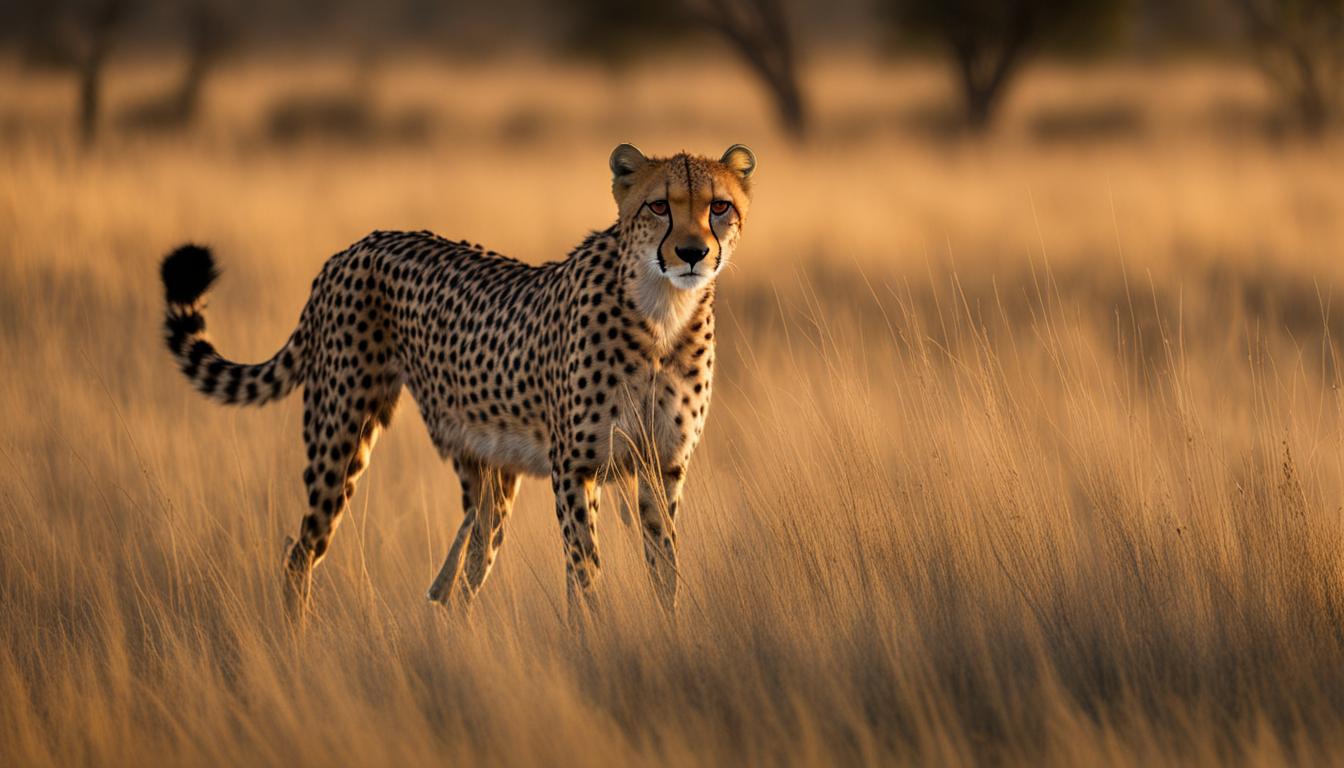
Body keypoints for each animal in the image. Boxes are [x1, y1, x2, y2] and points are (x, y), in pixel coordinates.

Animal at [159, 143, 758, 621]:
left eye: (718, 207)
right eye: (659, 206)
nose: (692, 253)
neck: (661, 311)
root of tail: (354, 246)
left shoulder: (663, 467)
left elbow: (665, 568)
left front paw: (667, 634)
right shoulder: (575, 468)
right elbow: (585, 570)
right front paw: (595, 639)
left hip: (489, 471)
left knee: (461, 576)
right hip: (342, 436)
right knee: (302, 550)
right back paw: (296, 645)